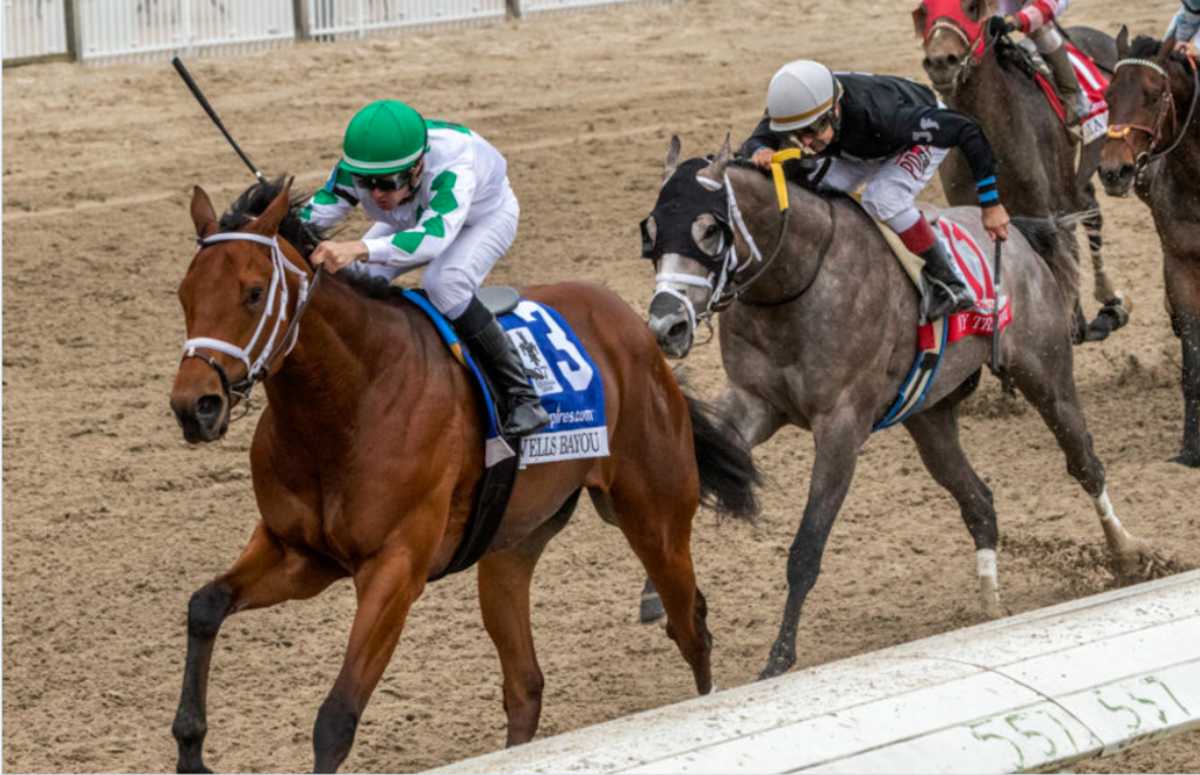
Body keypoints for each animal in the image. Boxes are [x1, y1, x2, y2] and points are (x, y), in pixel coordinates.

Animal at [167, 176, 760, 772]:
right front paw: (191, 748)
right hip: (510, 549)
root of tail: (635, 326)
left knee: (690, 627)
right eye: (185, 294)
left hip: (653, 517)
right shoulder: (299, 554)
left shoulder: (394, 569)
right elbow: (204, 605)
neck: (347, 402)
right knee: (524, 684)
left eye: (253, 292)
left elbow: (335, 720)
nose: (194, 406)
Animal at [641, 136, 1157, 681]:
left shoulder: (841, 427)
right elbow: (693, 478)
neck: (796, 282)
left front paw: (779, 657)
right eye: (651, 232)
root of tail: (1016, 232)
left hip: (1046, 375)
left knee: (1085, 464)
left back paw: (1129, 556)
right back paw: (991, 607)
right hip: (930, 417)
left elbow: (807, 548)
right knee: (979, 503)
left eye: (709, 229)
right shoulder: (750, 402)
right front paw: (657, 592)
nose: (666, 326)